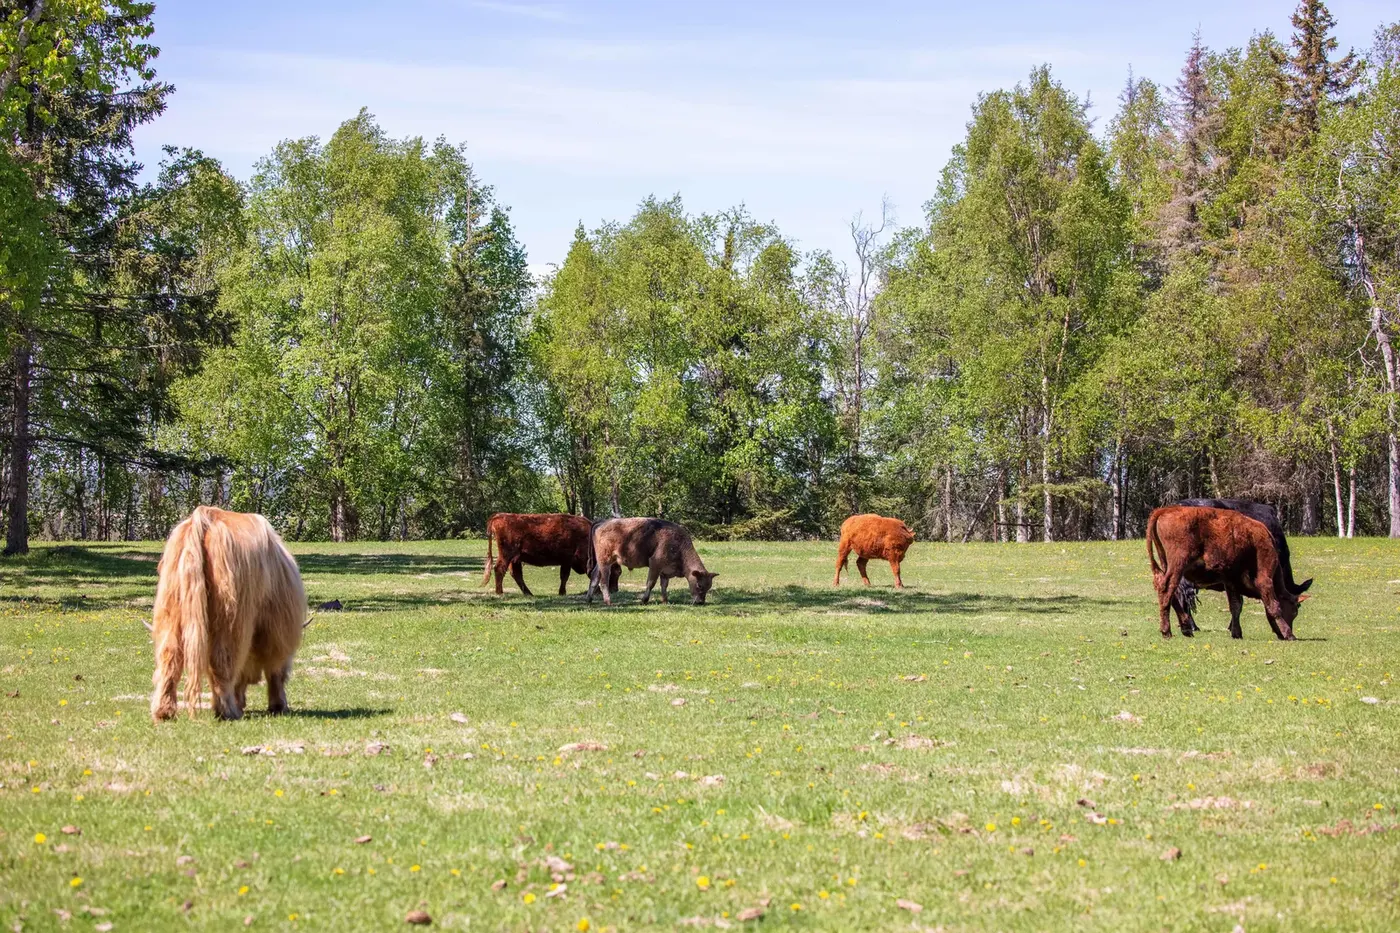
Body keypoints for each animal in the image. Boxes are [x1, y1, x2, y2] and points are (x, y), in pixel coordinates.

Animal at [149, 506, 307, 722]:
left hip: (172, 605)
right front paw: (278, 705)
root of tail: (204, 516)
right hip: (230, 614)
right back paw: (227, 710)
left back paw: (164, 712)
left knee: (170, 657)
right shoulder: (277, 624)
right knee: (223, 660)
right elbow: (275, 669)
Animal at [585, 517, 718, 606]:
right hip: (605, 562)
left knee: (594, 577)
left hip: (601, 563)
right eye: (699, 585)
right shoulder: (655, 564)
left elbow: (664, 585)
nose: (700, 602)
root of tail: (601, 522)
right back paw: (608, 601)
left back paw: (589, 599)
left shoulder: (665, 571)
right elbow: (651, 583)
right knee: (603, 581)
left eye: (709, 586)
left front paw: (665, 601)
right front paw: (644, 600)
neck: (678, 544)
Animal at [1147, 505, 1301, 641]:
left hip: (1167, 565)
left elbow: (1235, 606)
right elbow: (1274, 606)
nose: (1282, 634)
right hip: (1178, 565)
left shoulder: (1231, 581)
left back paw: (1186, 629)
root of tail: (1165, 510)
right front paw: (1289, 635)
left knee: (1171, 592)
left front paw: (1236, 633)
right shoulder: (1265, 576)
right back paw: (1167, 632)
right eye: (1295, 610)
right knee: (1167, 590)